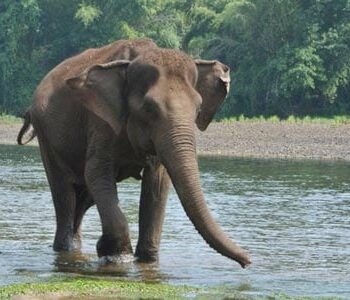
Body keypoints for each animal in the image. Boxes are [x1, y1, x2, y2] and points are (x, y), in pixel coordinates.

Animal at [17, 38, 252, 268]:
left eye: (198, 108)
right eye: (149, 108)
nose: (247, 261)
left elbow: (157, 183)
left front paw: (146, 259)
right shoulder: (101, 121)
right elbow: (96, 173)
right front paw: (116, 255)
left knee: (84, 196)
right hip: (47, 138)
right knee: (65, 192)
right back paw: (67, 249)